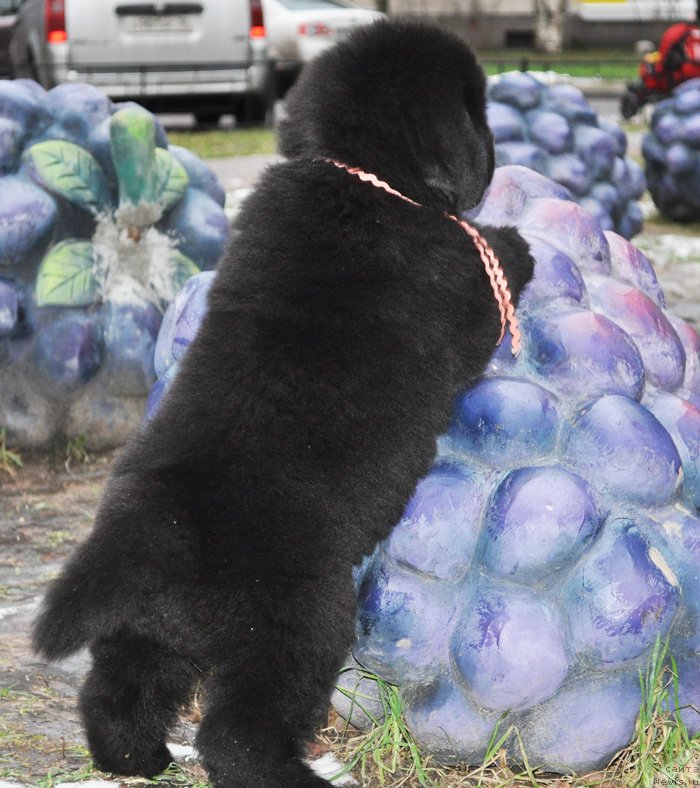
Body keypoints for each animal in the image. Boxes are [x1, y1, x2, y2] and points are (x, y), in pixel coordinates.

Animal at [32, 20, 532, 788]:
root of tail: (151, 536)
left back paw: (136, 757)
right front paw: (516, 242)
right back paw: (291, 773)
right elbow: (493, 268)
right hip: (299, 624)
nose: (498, 157)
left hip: (154, 631)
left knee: (119, 688)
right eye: (476, 111)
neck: (352, 175)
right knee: (235, 733)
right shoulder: (458, 289)